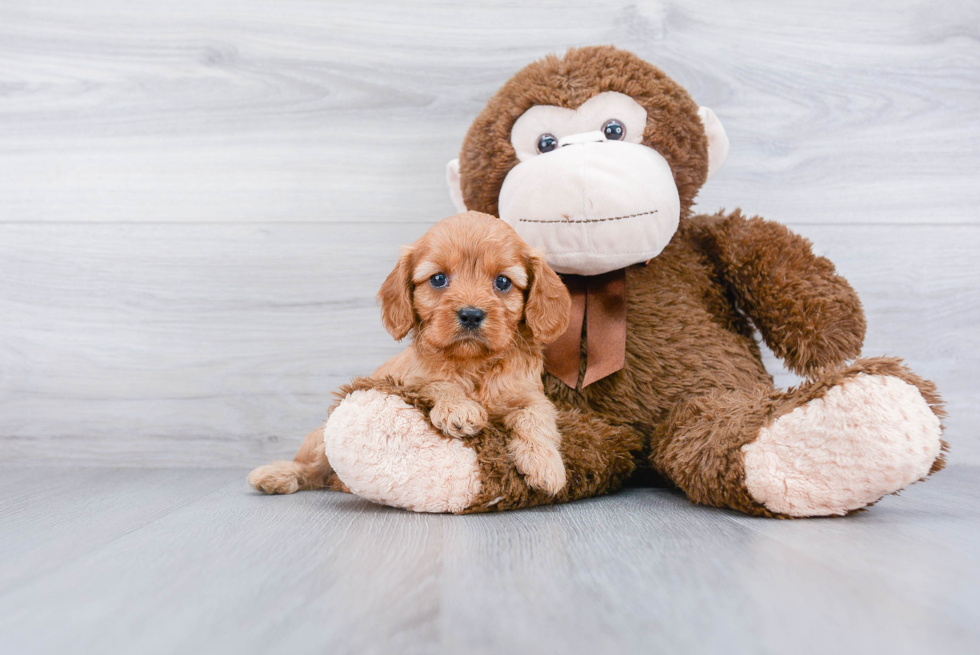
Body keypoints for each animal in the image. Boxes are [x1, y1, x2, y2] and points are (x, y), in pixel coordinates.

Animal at [251, 213, 576, 494]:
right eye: (438, 279)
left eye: (503, 282)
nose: (471, 314)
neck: (472, 363)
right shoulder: (410, 381)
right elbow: (437, 384)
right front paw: (458, 407)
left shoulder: (531, 395)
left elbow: (536, 417)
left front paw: (546, 465)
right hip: (321, 436)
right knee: (313, 466)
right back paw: (276, 474)